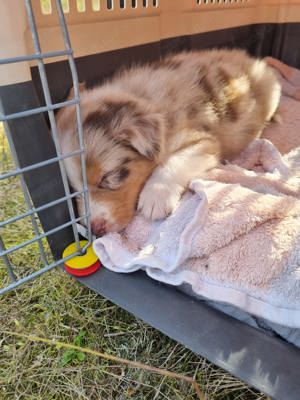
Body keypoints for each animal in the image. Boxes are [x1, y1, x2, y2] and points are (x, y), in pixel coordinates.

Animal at [56, 48, 282, 236]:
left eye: (107, 177)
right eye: (74, 188)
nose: (95, 230)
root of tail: (253, 60)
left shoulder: (203, 140)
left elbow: (174, 160)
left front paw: (154, 198)